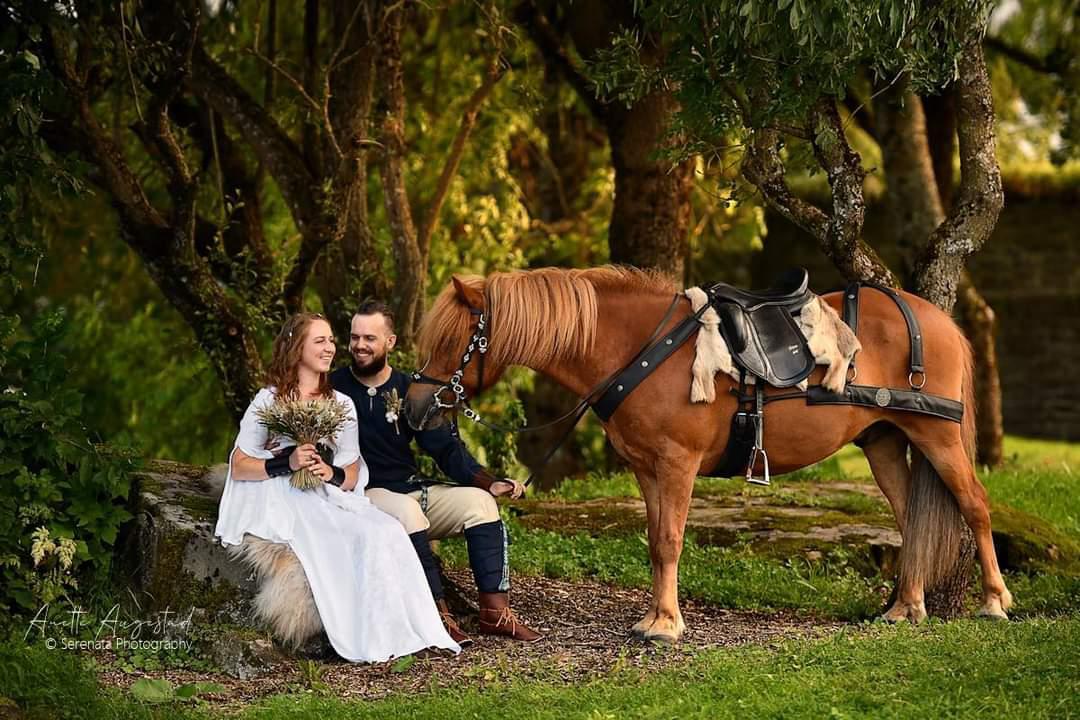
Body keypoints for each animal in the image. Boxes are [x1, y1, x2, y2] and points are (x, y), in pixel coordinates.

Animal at [406, 266, 1010, 643]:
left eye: (453, 341)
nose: (413, 408)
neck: (638, 348)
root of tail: (935, 319)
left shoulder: (678, 463)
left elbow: (670, 541)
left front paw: (666, 626)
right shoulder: (648, 469)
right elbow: (656, 541)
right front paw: (655, 617)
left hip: (937, 436)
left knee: (976, 506)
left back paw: (995, 602)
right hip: (884, 440)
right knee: (911, 518)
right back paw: (907, 607)